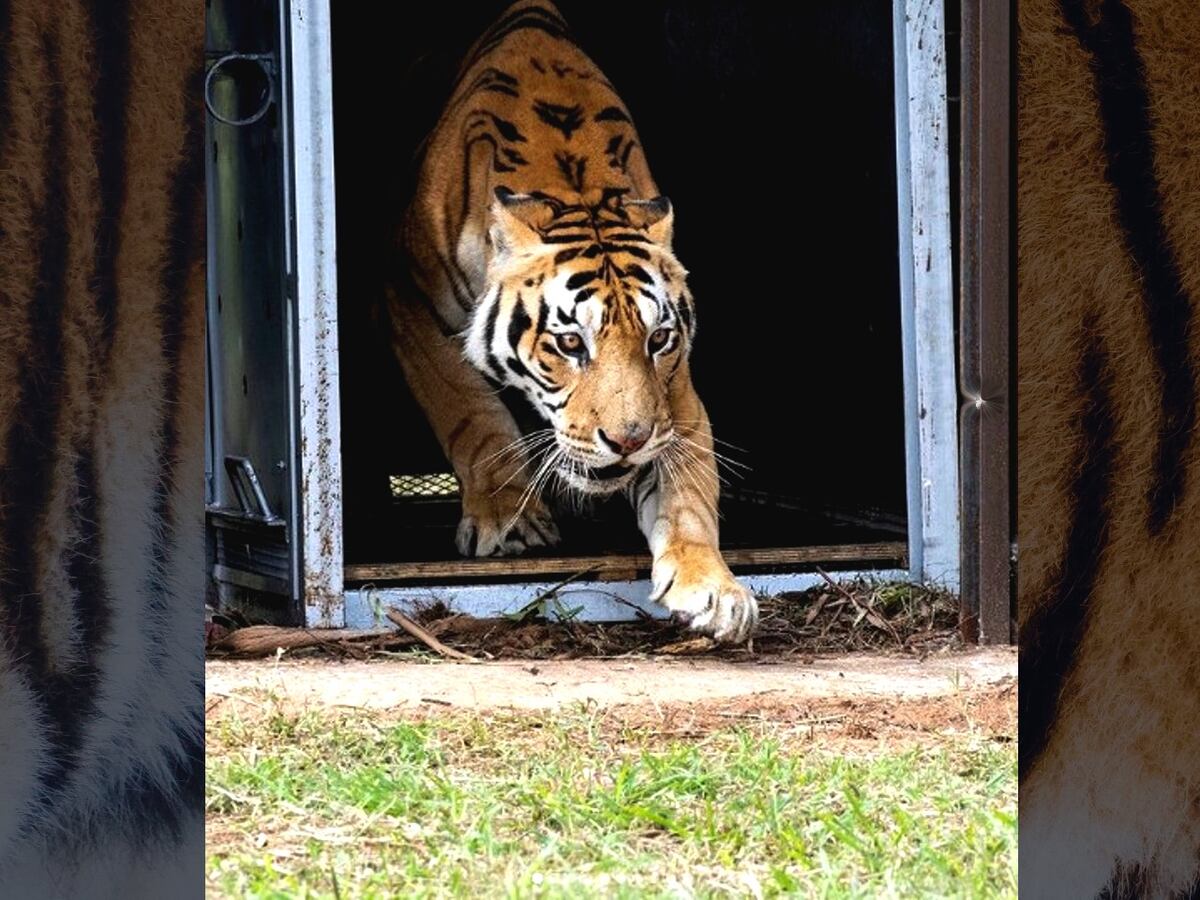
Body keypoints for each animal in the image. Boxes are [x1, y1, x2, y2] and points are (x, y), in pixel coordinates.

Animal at [388, 0, 757, 643]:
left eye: (659, 339)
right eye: (568, 343)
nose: (628, 440)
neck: (576, 187)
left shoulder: (673, 392)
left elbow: (688, 489)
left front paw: (712, 587)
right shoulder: (411, 302)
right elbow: (469, 412)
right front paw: (508, 520)